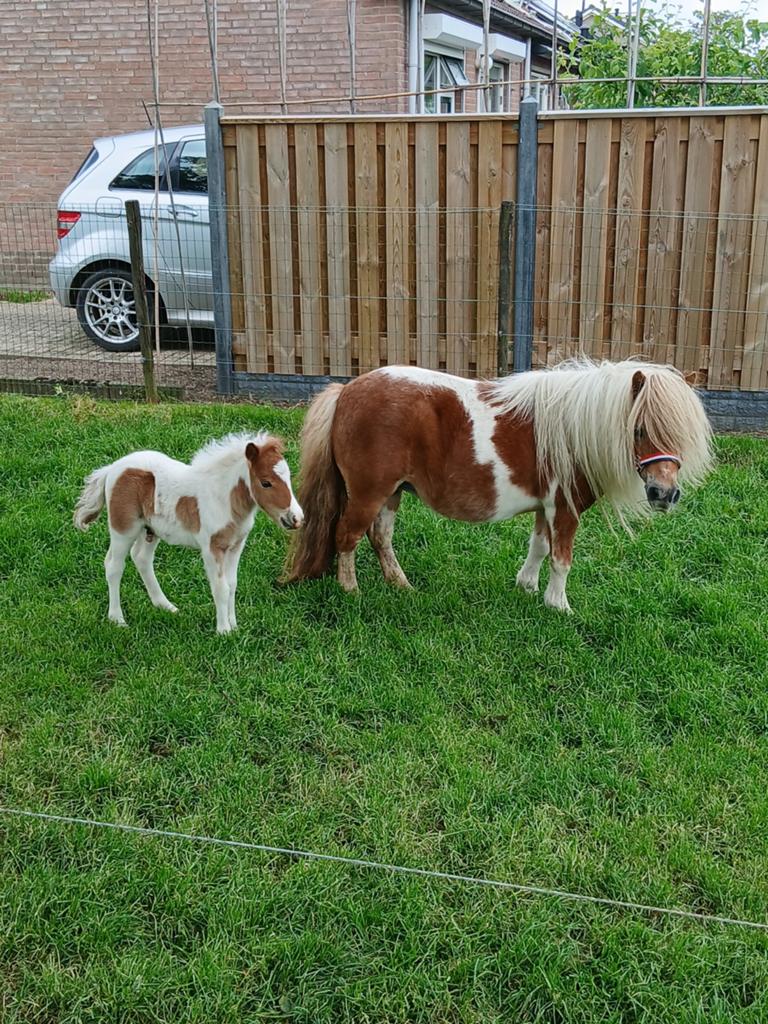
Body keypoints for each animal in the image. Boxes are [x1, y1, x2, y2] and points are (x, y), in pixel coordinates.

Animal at [74, 432, 303, 633]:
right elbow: (220, 588)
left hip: (150, 530)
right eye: (266, 482)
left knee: (141, 558)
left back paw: (165, 606)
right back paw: (117, 619)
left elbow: (232, 585)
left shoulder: (236, 545)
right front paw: (224, 631)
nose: (296, 518)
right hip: (124, 528)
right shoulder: (212, 548)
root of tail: (112, 468)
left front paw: (234, 626)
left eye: (289, 478)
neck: (223, 499)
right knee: (114, 565)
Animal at [284, 359, 713, 613]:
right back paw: (351, 590)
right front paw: (559, 606)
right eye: (639, 429)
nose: (664, 494)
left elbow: (539, 547)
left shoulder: (546, 507)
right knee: (347, 536)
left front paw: (527, 588)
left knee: (380, 538)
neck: (571, 430)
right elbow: (562, 559)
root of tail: (347, 391)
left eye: (681, 433)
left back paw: (401, 585)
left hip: (391, 493)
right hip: (369, 493)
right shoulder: (565, 508)